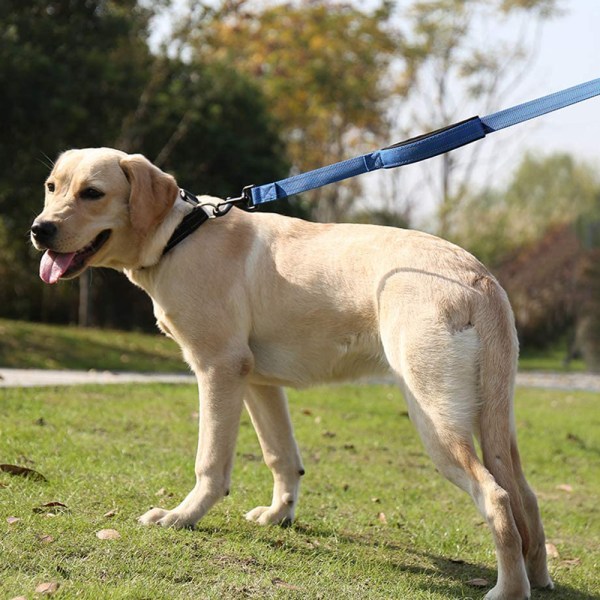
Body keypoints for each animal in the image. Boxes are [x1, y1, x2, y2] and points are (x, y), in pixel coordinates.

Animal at [30, 148, 552, 596]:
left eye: (93, 193)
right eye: (52, 187)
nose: (39, 230)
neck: (178, 236)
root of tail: (478, 278)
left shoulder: (218, 367)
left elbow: (210, 464)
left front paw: (182, 517)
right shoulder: (257, 381)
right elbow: (281, 456)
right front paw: (279, 515)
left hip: (436, 420)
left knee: (496, 497)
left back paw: (509, 590)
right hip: (495, 422)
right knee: (524, 495)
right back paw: (539, 578)